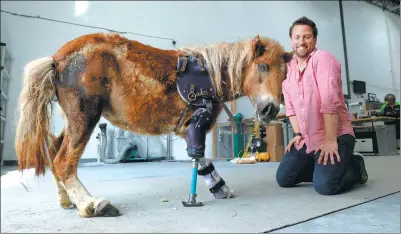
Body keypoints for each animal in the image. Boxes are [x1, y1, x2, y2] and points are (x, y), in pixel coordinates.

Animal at [14, 32, 290, 218]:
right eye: (263, 66)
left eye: (285, 74)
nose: (270, 109)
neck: (211, 76)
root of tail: (56, 60)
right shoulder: (197, 122)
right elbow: (197, 156)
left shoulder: (189, 127)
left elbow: (200, 159)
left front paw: (219, 188)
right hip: (85, 114)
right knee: (63, 160)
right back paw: (92, 205)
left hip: (73, 118)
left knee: (54, 151)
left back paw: (67, 200)